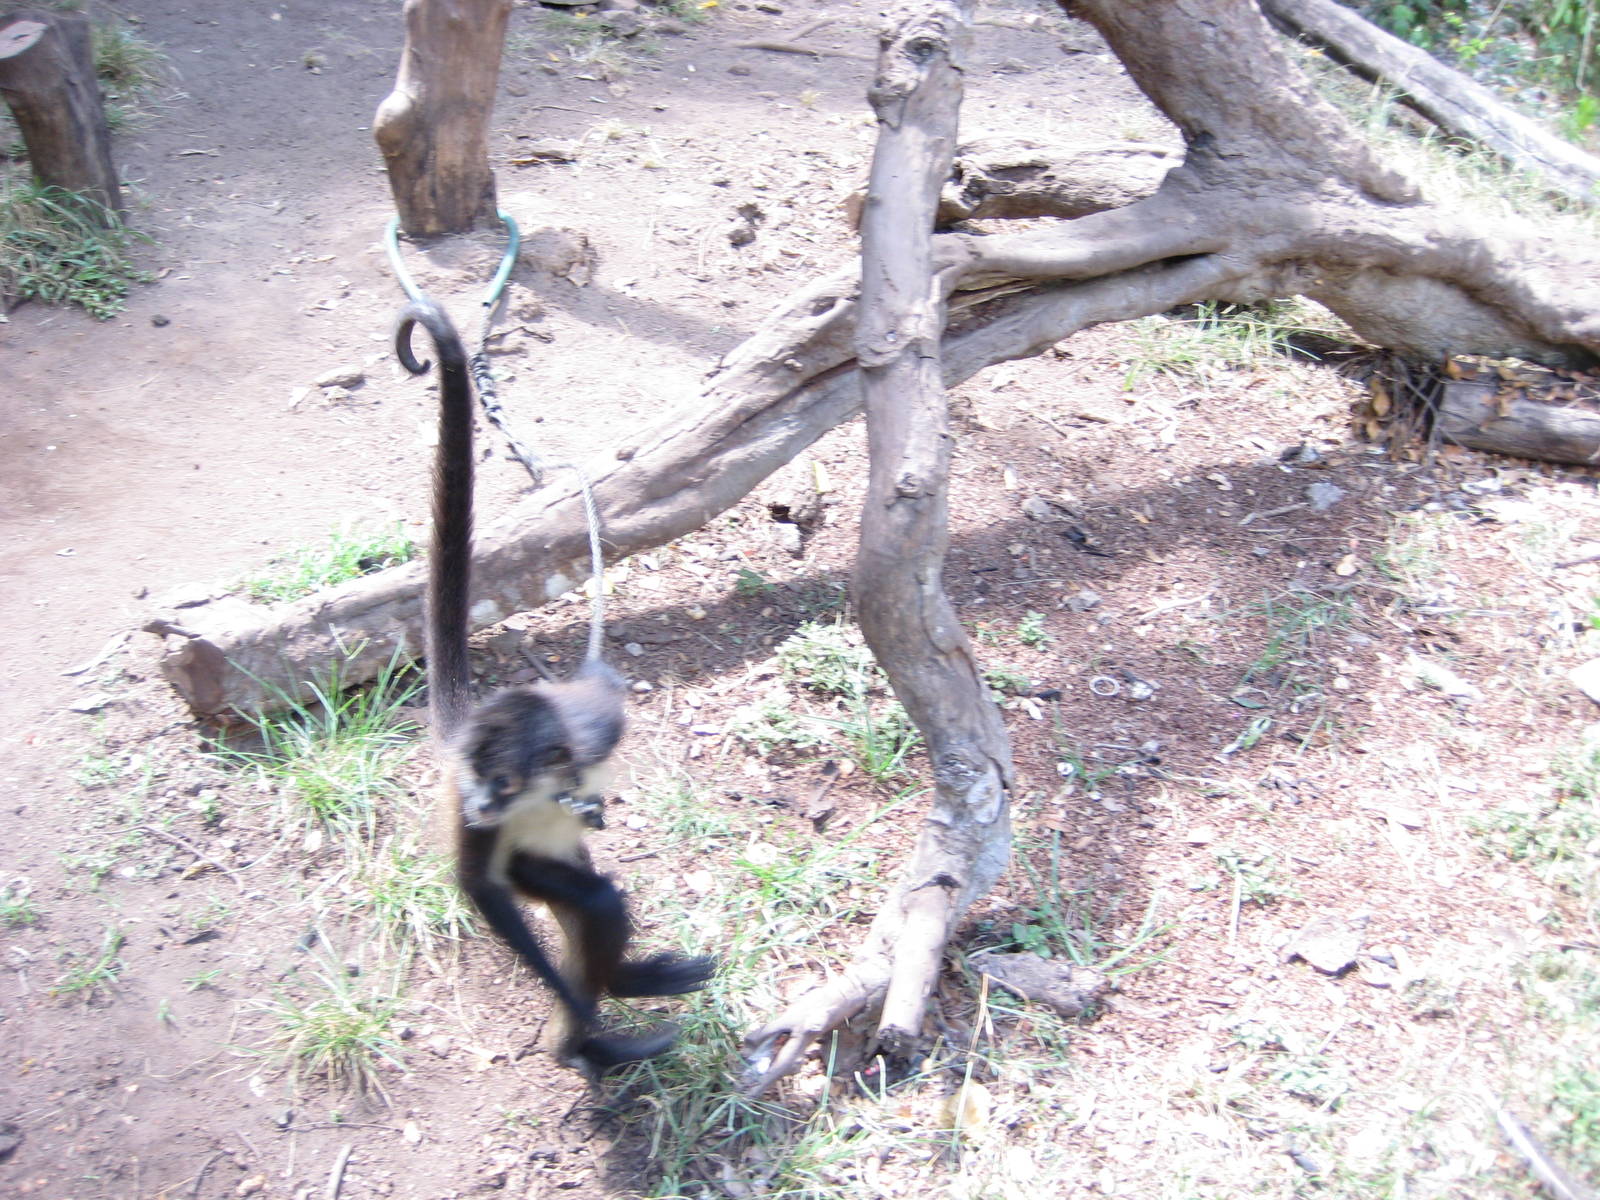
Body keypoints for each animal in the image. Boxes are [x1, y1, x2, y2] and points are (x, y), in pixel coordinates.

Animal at [395, 298, 714, 1073]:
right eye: (480, 782)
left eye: (502, 780)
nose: (484, 803)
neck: (546, 781)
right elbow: (479, 888)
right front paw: (576, 1008)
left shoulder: (594, 723)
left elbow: (602, 687)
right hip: (529, 858)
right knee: (591, 900)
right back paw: (602, 1022)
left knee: (595, 895)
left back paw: (621, 986)